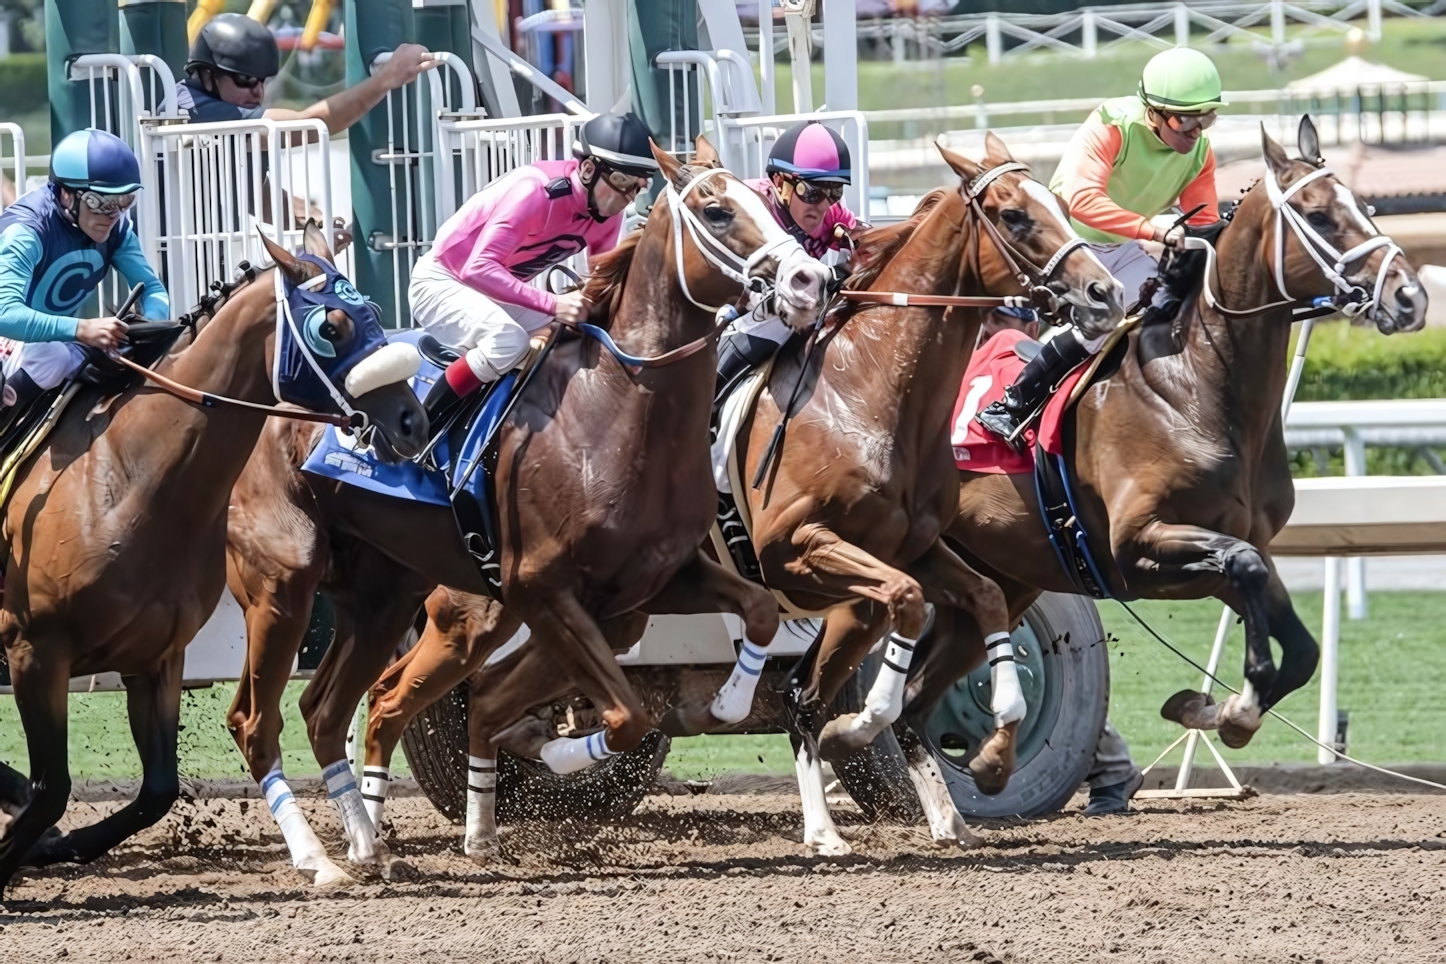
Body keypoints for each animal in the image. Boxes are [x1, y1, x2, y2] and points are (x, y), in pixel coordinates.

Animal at [0, 226, 422, 896]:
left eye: (376, 314)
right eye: (330, 326)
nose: (414, 420)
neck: (126, 479)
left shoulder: (155, 657)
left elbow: (157, 791)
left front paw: (55, 845)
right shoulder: (35, 650)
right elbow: (51, 789)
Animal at [216, 139, 827, 884]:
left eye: (766, 202)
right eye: (716, 210)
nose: (809, 280)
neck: (617, 407)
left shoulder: (644, 589)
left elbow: (760, 609)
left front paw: (732, 700)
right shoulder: (544, 589)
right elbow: (623, 716)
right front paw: (558, 755)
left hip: (386, 598)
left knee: (333, 709)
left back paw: (371, 840)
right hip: (283, 587)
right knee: (260, 718)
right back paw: (325, 854)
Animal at [925, 118, 1422, 751]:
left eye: (1366, 206)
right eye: (1319, 215)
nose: (1409, 297)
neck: (1196, 390)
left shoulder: (1234, 545)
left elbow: (1300, 644)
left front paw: (1218, 708)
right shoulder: (1135, 546)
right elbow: (1244, 567)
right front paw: (1232, 707)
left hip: (1000, 578)